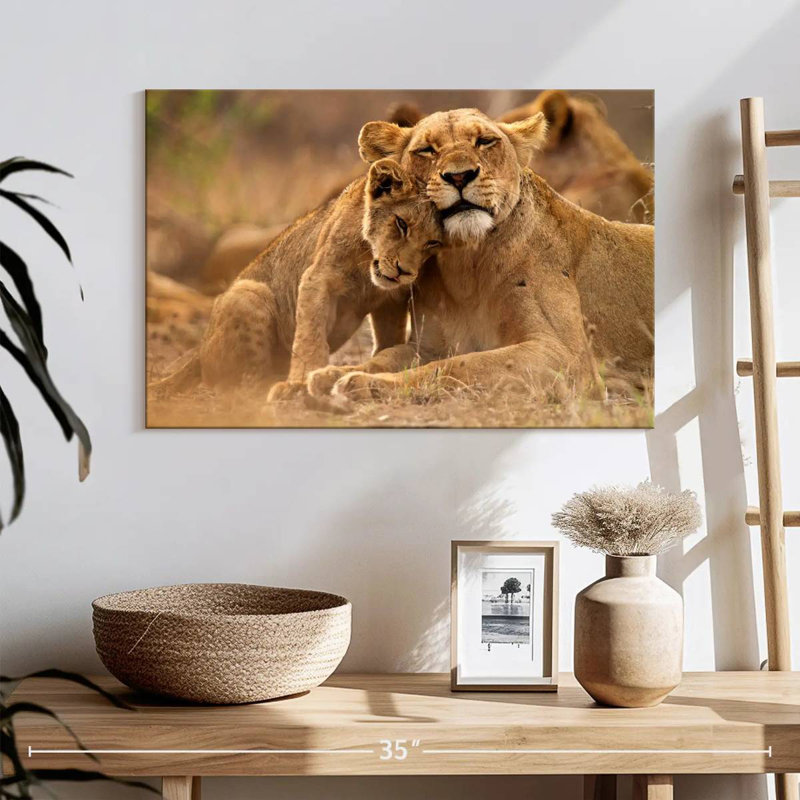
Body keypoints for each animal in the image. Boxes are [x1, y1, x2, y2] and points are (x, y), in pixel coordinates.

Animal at [150, 158, 442, 395]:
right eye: (401, 224)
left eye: (433, 243)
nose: (405, 272)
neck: (367, 266)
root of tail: (198, 351)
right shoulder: (318, 279)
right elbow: (310, 337)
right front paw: (302, 380)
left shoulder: (391, 299)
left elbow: (389, 338)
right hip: (249, 293)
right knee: (240, 384)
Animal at [306, 108, 653, 411]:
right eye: (427, 150)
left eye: (485, 141)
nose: (460, 176)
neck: (466, 264)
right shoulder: (428, 345)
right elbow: (388, 356)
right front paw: (330, 374)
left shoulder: (567, 357)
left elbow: (460, 366)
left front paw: (362, 384)